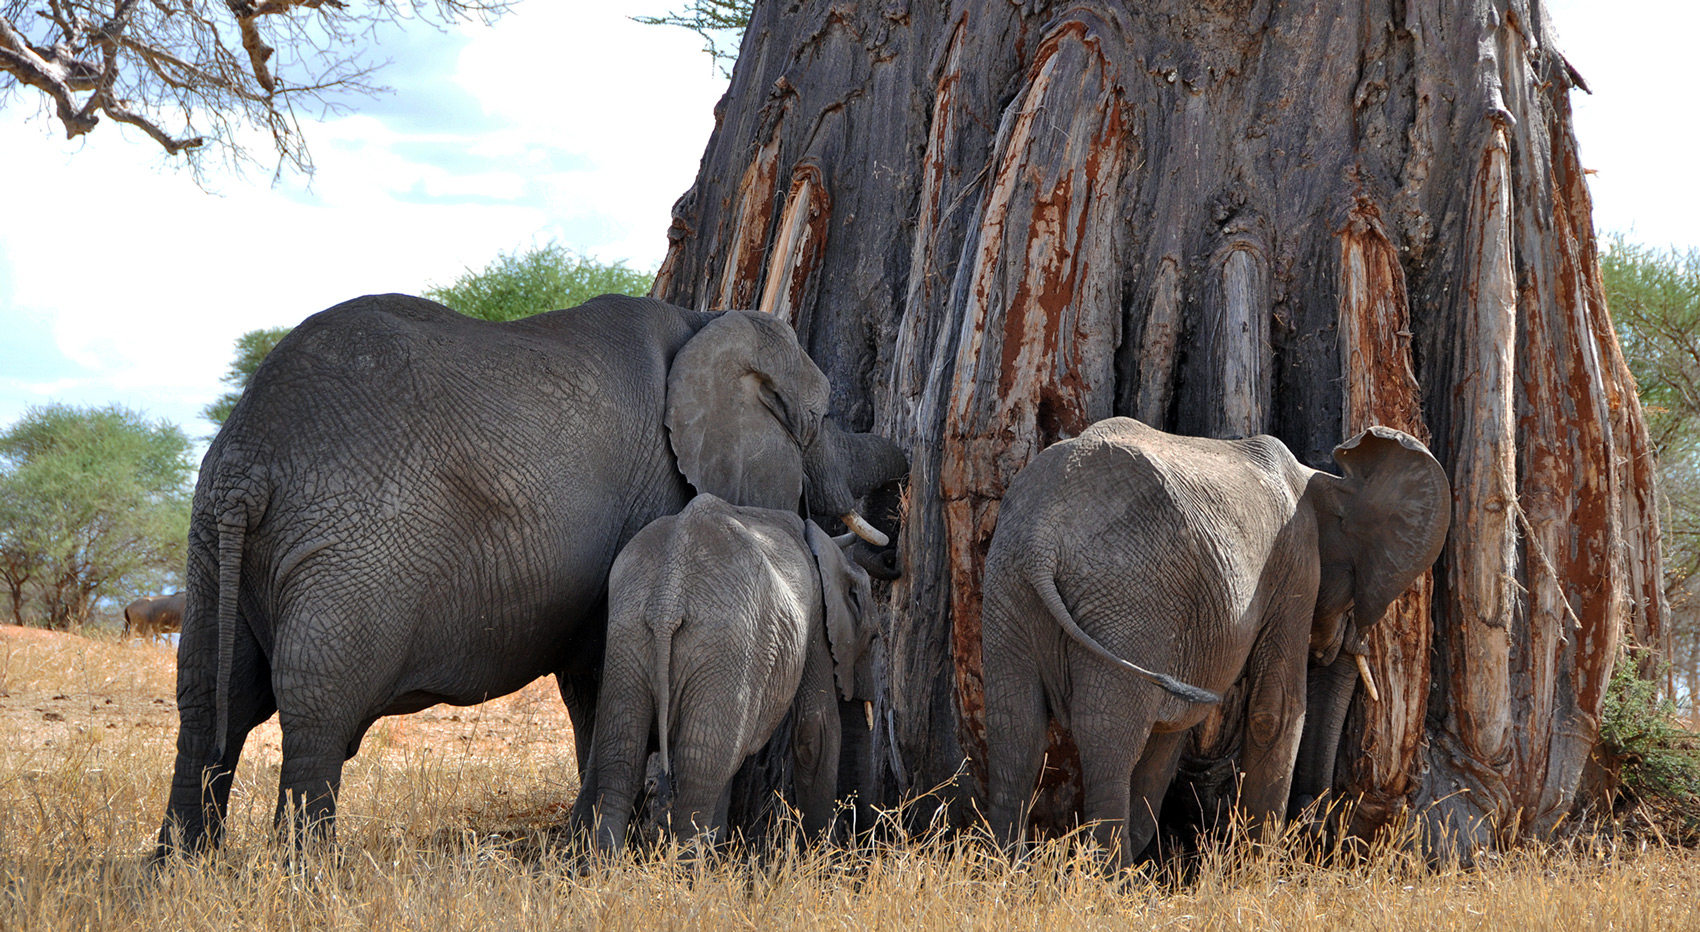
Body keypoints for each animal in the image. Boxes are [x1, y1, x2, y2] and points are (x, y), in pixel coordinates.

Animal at [575, 494, 877, 852]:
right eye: (875, 638)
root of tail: (667, 597)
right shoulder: (816, 612)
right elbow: (814, 730)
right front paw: (825, 854)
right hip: (724, 646)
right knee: (700, 768)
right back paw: (689, 864)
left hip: (629, 637)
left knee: (623, 757)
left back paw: (604, 863)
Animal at [980, 417, 1449, 865]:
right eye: (1354, 594)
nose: (1316, 829)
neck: (1321, 479)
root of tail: (1042, 543)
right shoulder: (1296, 562)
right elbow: (1275, 709)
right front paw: (1259, 870)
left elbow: (1172, 730)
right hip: (1128, 596)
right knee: (1107, 737)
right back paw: (1108, 878)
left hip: (1009, 585)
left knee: (1015, 729)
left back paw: (1008, 870)